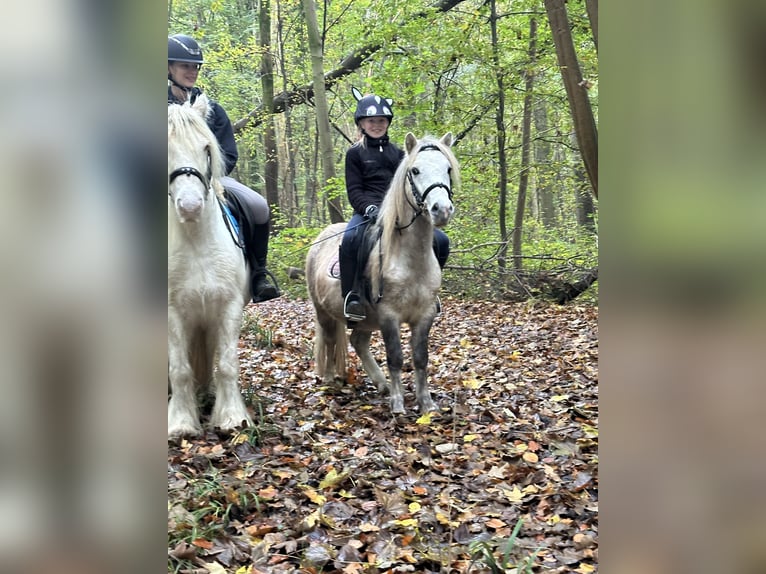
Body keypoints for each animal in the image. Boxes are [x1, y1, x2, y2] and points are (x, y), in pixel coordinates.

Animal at [308, 133, 462, 416]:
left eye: (447, 169)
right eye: (415, 170)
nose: (441, 209)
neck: (410, 260)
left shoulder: (424, 315)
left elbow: (420, 358)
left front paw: (426, 404)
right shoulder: (389, 315)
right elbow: (396, 357)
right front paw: (398, 404)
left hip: (367, 319)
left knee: (358, 341)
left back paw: (382, 384)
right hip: (324, 312)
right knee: (330, 340)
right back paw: (331, 380)